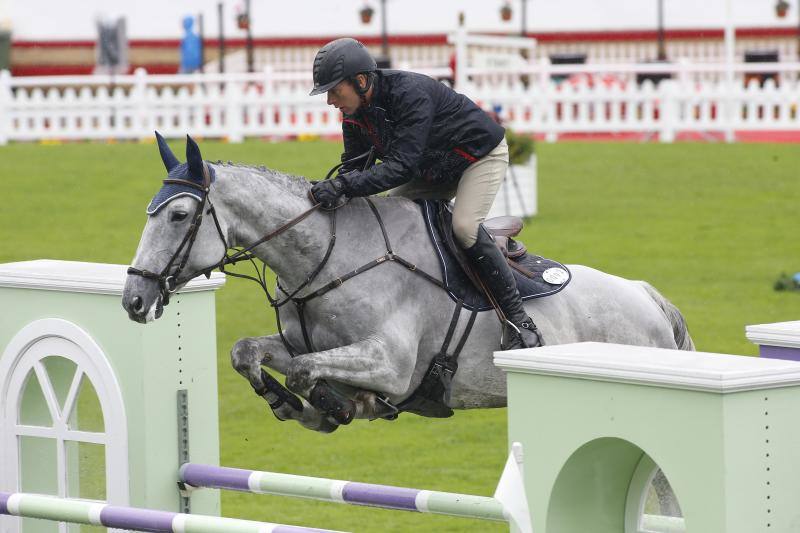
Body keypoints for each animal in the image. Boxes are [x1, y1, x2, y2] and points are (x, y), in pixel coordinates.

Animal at [120, 136, 692, 432]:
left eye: (178, 215)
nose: (134, 300)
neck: (327, 256)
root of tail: (648, 298)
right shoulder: (298, 343)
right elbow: (246, 352)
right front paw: (288, 404)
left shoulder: (389, 363)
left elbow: (309, 374)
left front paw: (337, 406)